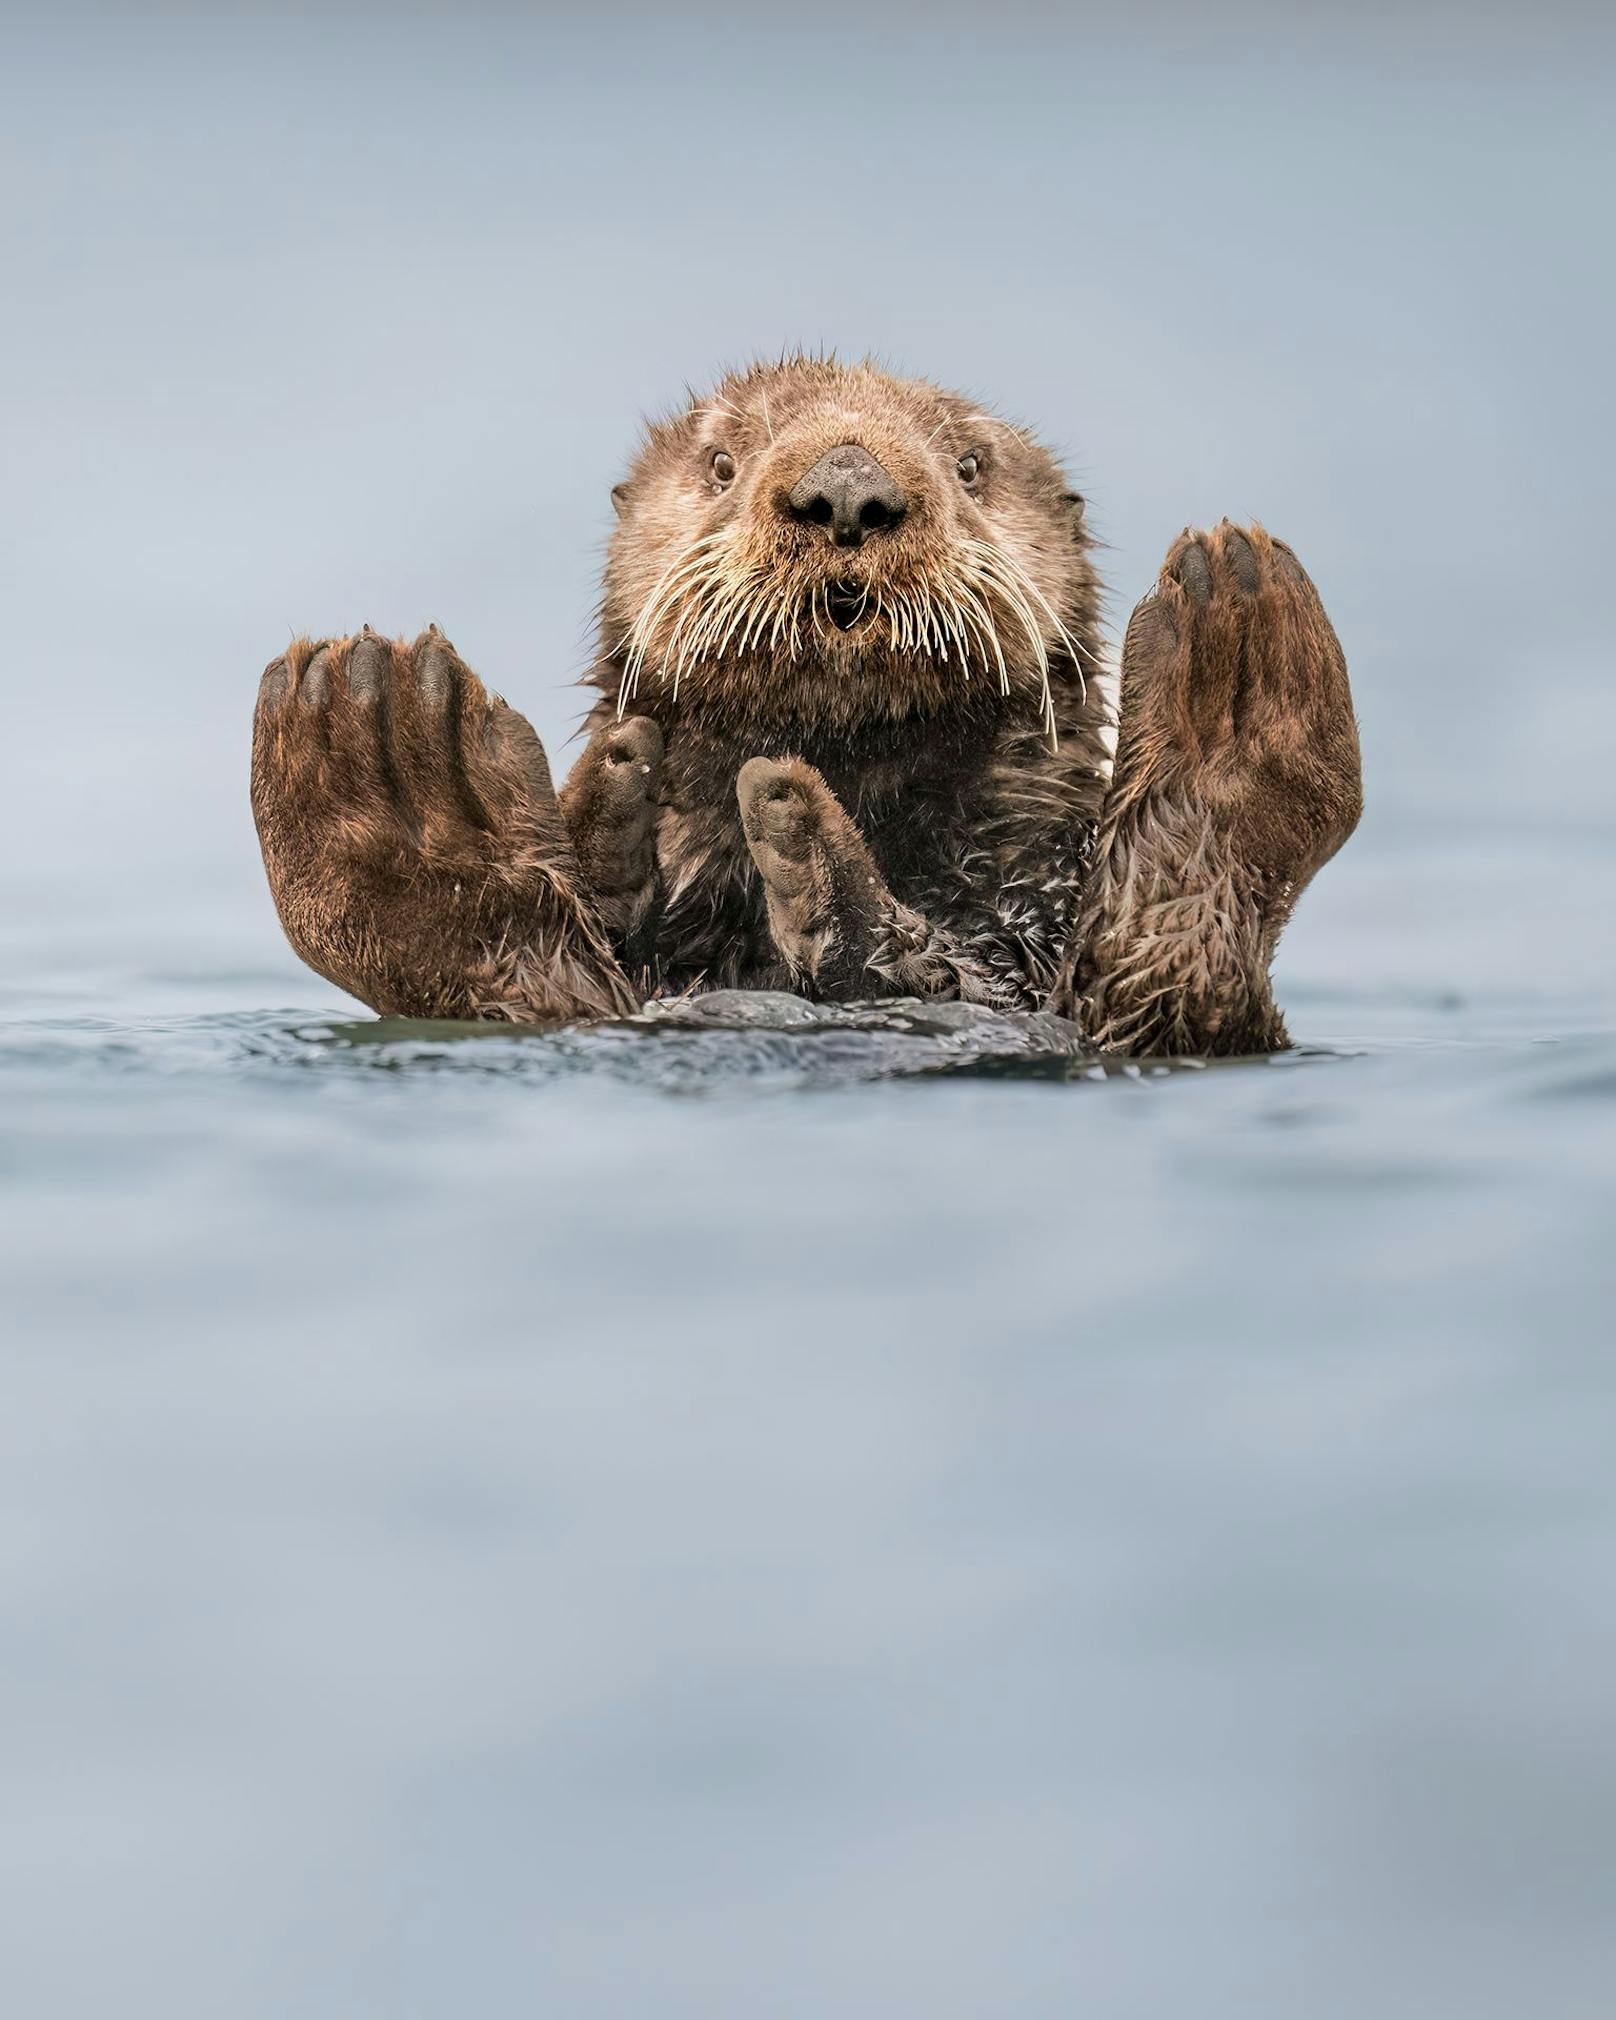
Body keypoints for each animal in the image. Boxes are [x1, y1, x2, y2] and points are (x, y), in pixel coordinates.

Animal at [252, 353, 1365, 1058]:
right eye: (721, 461)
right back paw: (399, 765)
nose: (846, 487)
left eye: (969, 465)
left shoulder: (1030, 904)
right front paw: (618, 802)